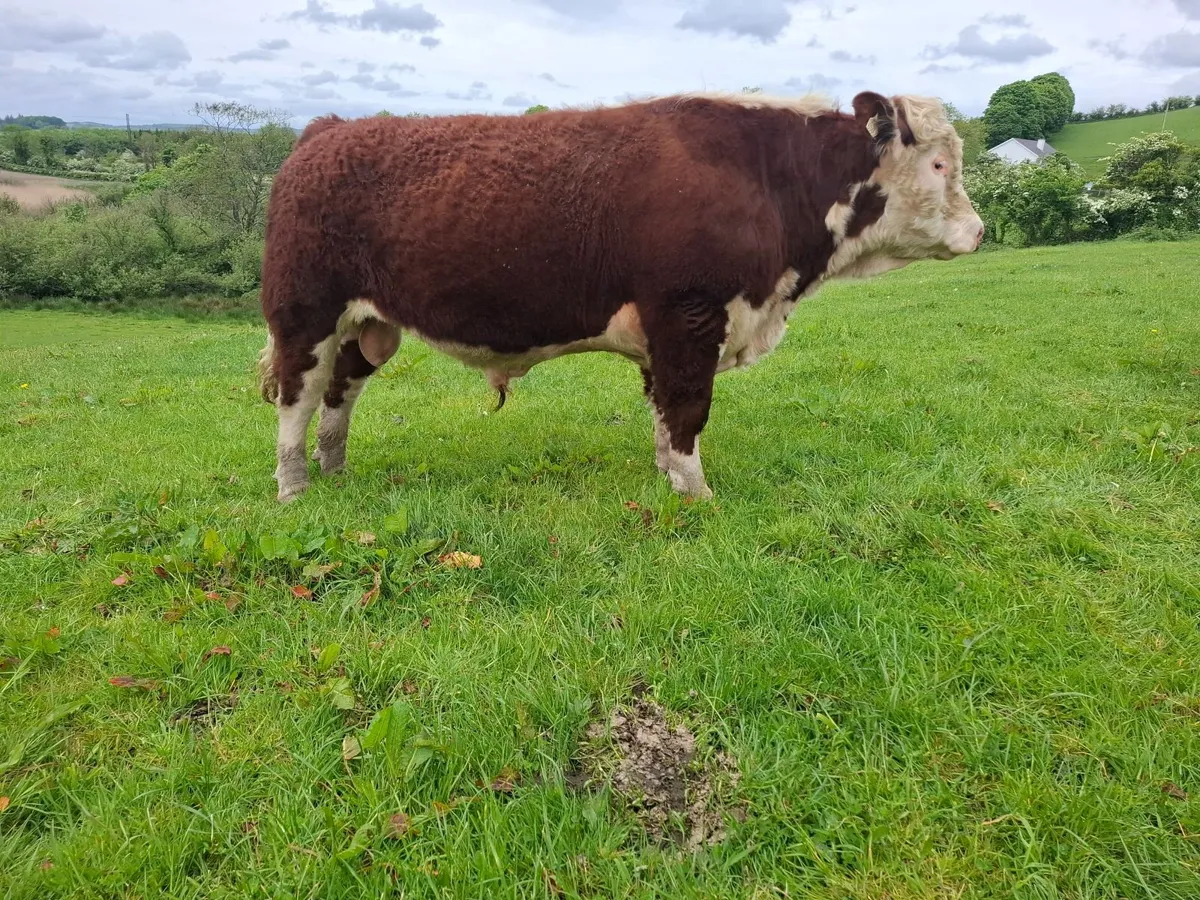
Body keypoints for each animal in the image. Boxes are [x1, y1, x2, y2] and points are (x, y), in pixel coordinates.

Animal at [256, 90, 983, 503]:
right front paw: (696, 495)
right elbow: (687, 407)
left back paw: (335, 471)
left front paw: (669, 479)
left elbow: (663, 412)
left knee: (340, 393)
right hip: (304, 312)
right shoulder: (691, 313)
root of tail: (329, 131)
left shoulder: (669, 331)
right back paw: (294, 489)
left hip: (366, 325)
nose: (978, 231)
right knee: (297, 397)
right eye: (939, 164)